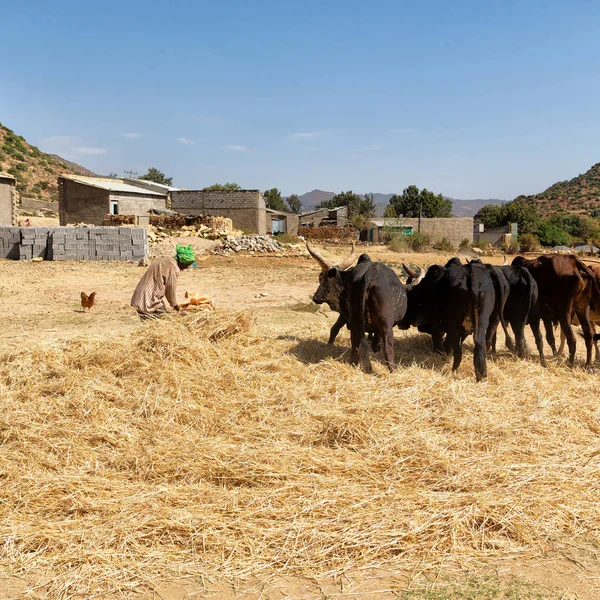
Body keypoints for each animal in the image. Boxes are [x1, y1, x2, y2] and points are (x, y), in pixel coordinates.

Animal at [310, 241, 408, 372]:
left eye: (320, 278)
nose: (315, 297)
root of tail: (370, 274)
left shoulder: (344, 314)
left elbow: (335, 328)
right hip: (384, 324)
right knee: (386, 348)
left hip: (358, 320)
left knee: (356, 345)